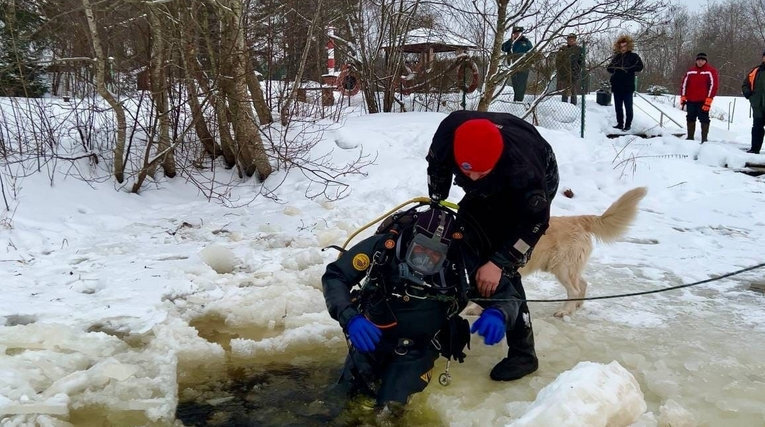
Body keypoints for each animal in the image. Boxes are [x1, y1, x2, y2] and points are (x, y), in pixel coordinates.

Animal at [462, 187, 648, 318]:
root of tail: (578, 219)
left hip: (562, 268)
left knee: (574, 289)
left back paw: (565, 311)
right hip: (568, 267)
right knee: (582, 283)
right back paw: (577, 306)